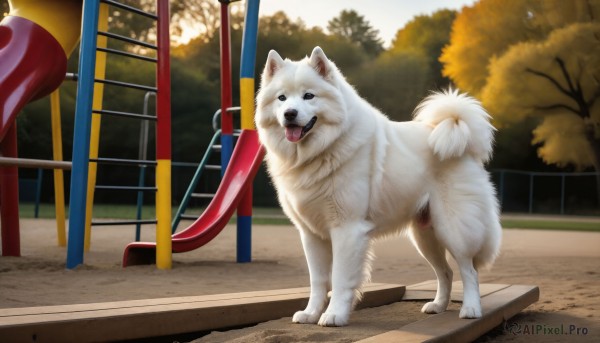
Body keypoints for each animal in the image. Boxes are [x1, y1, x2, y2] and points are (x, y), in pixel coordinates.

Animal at [254, 46, 502, 328]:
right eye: (282, 98)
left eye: (308, 96)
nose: (290, 114)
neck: (318, 152)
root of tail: (462, 138)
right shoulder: (312, 234)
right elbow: (317, 281)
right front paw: (311, 313)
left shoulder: (347, 230)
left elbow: (340, 279)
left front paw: (334, 315)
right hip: (425, 237)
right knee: (446, 272)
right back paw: (437, 306)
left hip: (453, 229)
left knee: (468, 270)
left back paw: (471, 309)